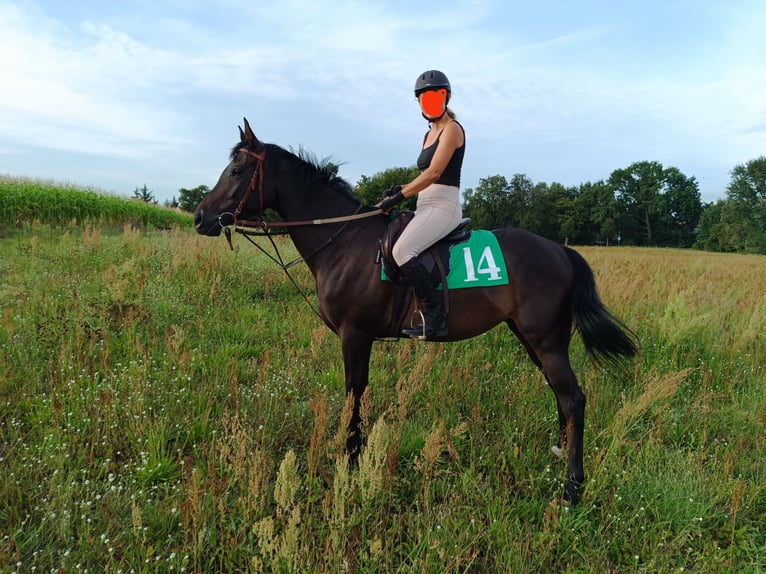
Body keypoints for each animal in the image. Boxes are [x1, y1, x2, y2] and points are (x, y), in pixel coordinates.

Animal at [193, 118, 639, 504]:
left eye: (237, 170)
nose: (200, 217)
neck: (345, 241)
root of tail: (561, 251)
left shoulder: (355, 335)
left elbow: (354, 394)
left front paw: (351, 462)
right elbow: (359, 393)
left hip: (545, 340)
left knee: (574, 398)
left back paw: (572, 488)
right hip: (532, 338)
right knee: (559, 394)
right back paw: (559, 455)